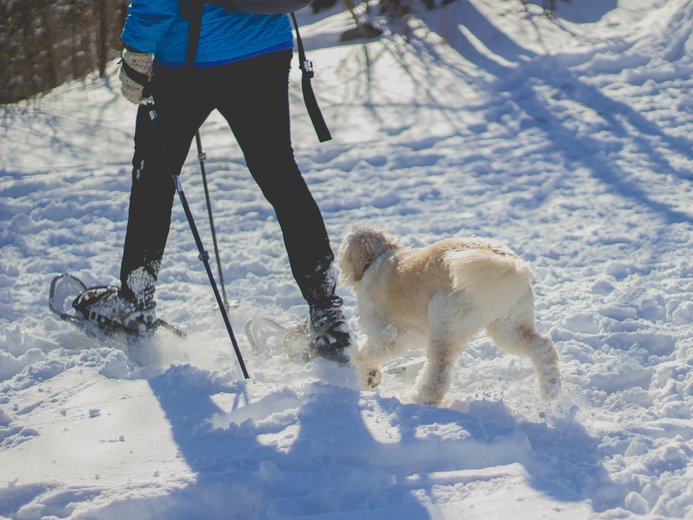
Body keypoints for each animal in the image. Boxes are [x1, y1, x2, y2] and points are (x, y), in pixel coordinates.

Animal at [338, 226, 560, 406]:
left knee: (439, 373)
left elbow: (364, 355)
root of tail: (510, 261)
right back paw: (550, 388)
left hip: (444, 325)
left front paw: (368, 375)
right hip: (508, 326)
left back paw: (420, 400)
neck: (379, 258)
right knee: (542, 346)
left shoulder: (390, 335)